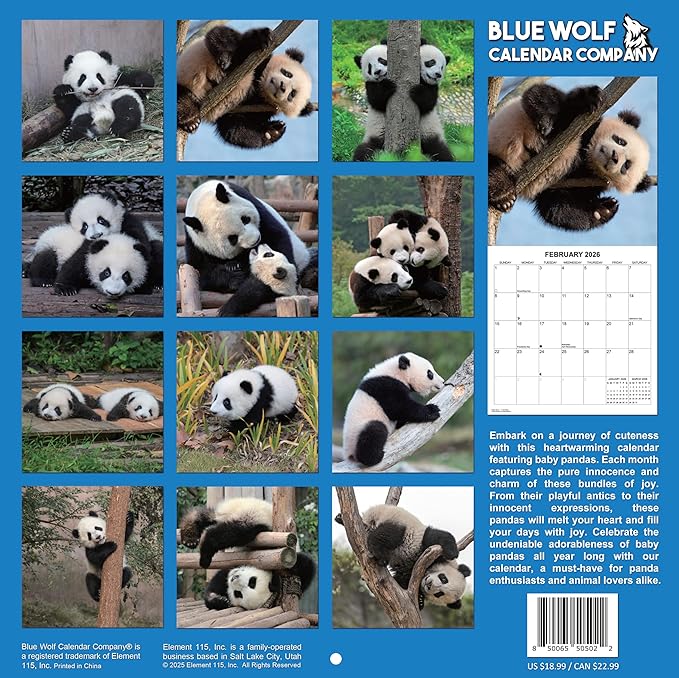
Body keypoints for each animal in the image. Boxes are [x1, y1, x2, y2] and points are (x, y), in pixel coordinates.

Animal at [177, 24, 315, 148]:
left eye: (292, 94)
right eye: (287, 73)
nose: (282, 86)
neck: (259, 84)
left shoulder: (252, 106)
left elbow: (234, 128)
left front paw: (274, 130)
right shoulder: (254, 59)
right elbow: (225, 35)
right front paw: (262, 37)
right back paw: (190, 120)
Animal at [183, 180, 311, 293]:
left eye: (245, 219)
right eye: (232, 238)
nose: (255, 240)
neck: (201, 198)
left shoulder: (251, 202)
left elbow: (277, 237)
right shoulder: (195, 241)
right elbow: (200, 270)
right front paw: (234, 276)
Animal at [488, 83, 653, 230]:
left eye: (626, 165)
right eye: (620, 141)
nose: (614, 156)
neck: (586, 153)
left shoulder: (578, 181)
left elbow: (556, 207)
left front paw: (605, 209)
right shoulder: (581, 125)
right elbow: (545, 95)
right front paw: (590, 97)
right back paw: (504, 195)